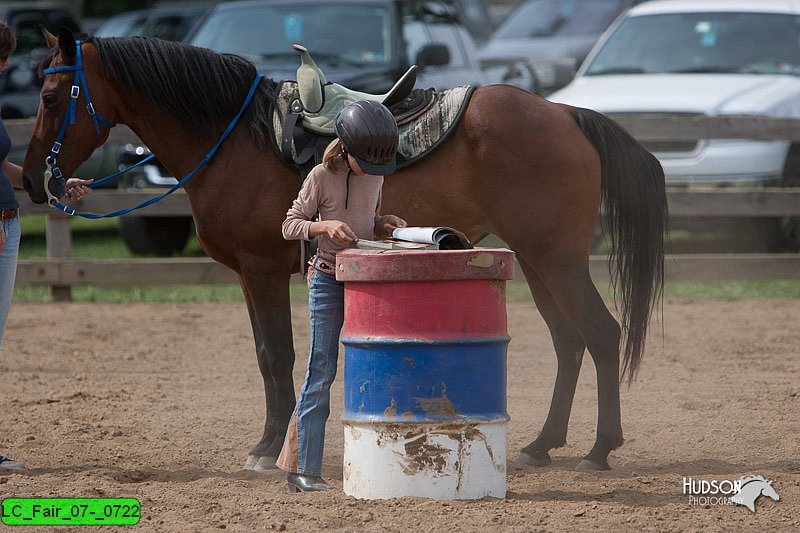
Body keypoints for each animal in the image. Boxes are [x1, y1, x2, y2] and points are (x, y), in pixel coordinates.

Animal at [21, 29, 664, 470]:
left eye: (51, 96)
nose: (30, 180)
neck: (234, 140)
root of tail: (565, 114)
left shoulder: (261, 271)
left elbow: (275, 356)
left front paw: (265, 450)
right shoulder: (250, 276)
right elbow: (270, 356)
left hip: (557, 259)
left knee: (600, 333)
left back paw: (599, 450)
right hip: (535, 260)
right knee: (569, 342)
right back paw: (542, 444)